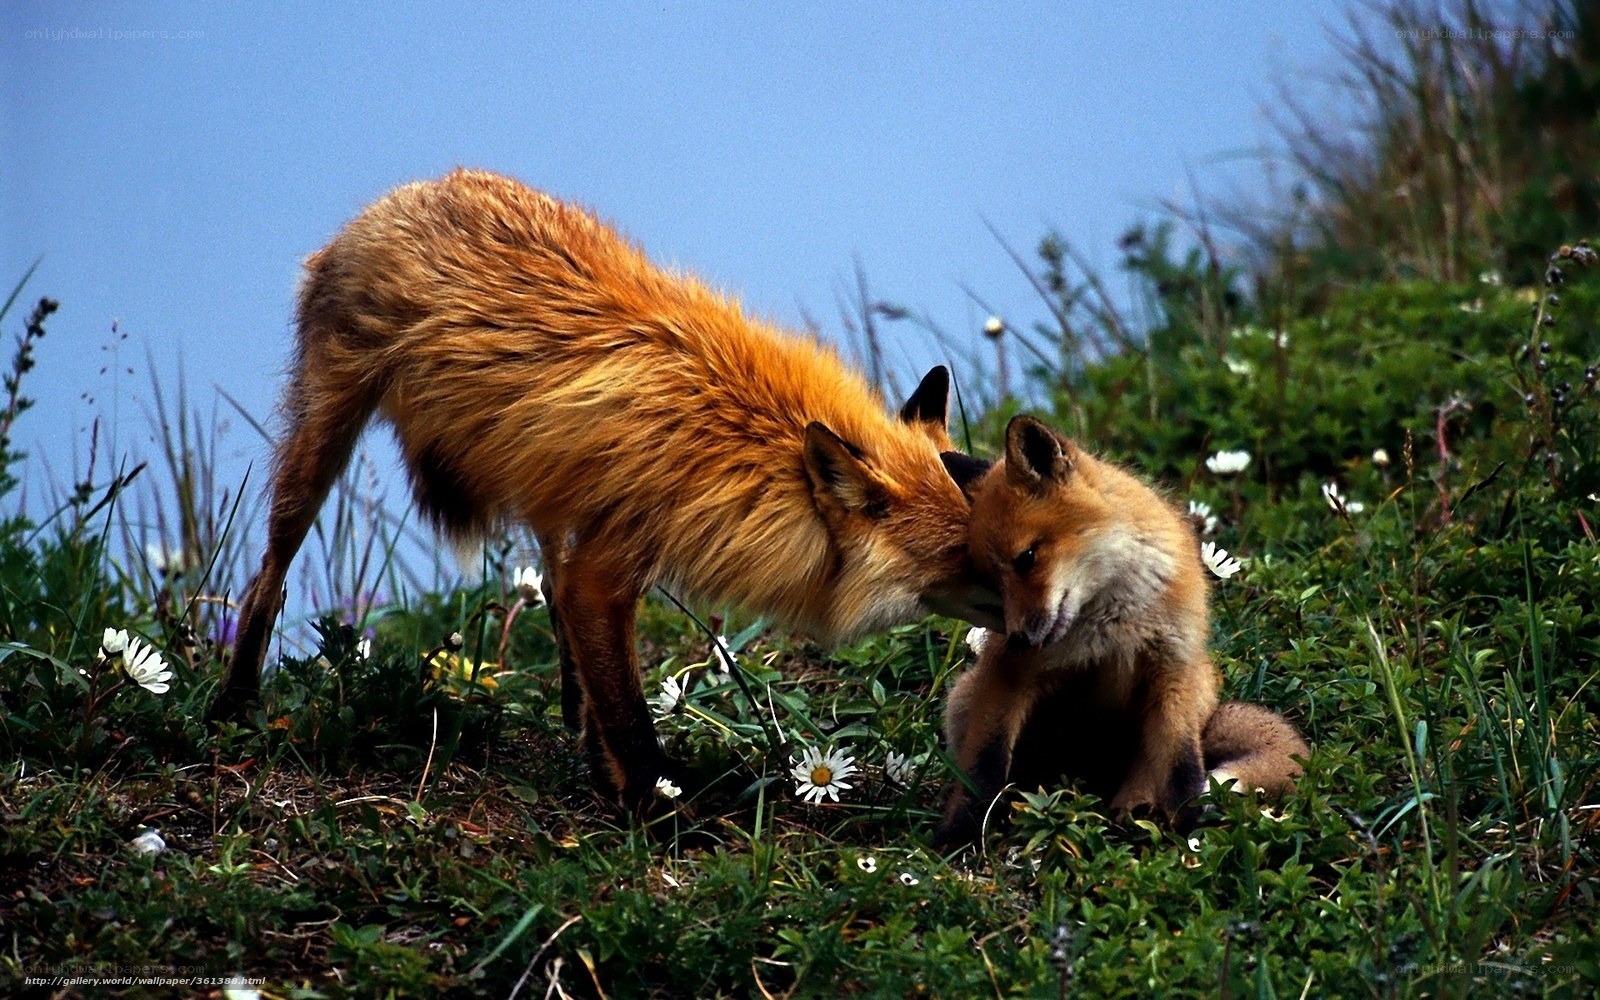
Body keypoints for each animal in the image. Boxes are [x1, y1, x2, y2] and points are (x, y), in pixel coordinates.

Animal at [209, 168, 1003, 808]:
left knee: (554, 601)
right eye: (964, 557)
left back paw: (574, 723)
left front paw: (611, 770)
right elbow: (631, 718)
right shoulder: (609, 567)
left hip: (544, 490)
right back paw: (234, 706)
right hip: (323, 441)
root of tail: (409, 190)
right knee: (268, 577)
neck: (739, 443)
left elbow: (603, 675)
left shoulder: (602, 548)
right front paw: (659, 812)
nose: (1036, 614)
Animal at [934, 415, 1307, 847]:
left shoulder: (1172, 666)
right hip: (965, 700)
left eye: (1026, 558)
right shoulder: (1008, 675)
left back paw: (1135, 811)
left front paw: (1190, 826)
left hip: (1193, 689)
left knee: (1150, 767)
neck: (1110, 620)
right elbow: (983, 765)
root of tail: (1090, 771)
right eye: (992, 583)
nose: (1019, 640)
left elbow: (1182, 768)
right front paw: (959, 831)